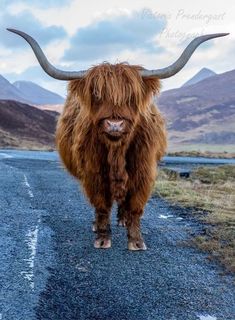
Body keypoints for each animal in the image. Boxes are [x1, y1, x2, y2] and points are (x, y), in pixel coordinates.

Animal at [6, 28, 228, 250]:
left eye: (131, 97)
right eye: (97, 95)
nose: (114, 125)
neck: (117, 151)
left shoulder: (142, 172)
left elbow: (136, 206)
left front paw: (136, 241)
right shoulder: (94, 173)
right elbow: (101, 205)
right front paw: (103, 238)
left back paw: (123, 219)